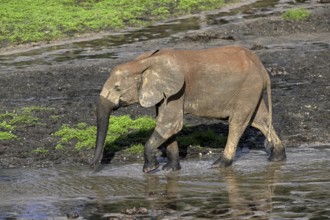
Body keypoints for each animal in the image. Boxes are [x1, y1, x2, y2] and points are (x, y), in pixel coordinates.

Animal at [91, 46, 286, 172]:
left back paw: (219, 165)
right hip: (251, 90)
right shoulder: (167, 93)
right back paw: (277, 157)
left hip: (248, 88)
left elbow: (170, 124)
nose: (92, 165)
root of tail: (262, 67)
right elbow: (169, 127)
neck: (144, 62)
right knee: (259, 120)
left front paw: (150, 169)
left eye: (117, 88)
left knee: (237, 124)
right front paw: (170, 169)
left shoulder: (178, 90)